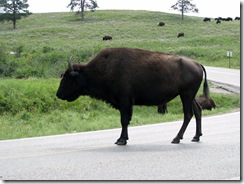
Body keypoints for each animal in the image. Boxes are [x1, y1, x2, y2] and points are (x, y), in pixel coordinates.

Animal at [56, 47, 210, 145]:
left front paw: (121, 140)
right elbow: (125, 120)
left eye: (68, 77)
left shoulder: (124, 102)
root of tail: (197, 63)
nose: (58, 94)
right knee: (198, 111)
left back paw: (176, 138)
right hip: (190, 96)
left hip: (186, 95)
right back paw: (196, 137)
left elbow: (124, 120)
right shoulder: (125, 103)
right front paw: (122, 139)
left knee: (188, 114)